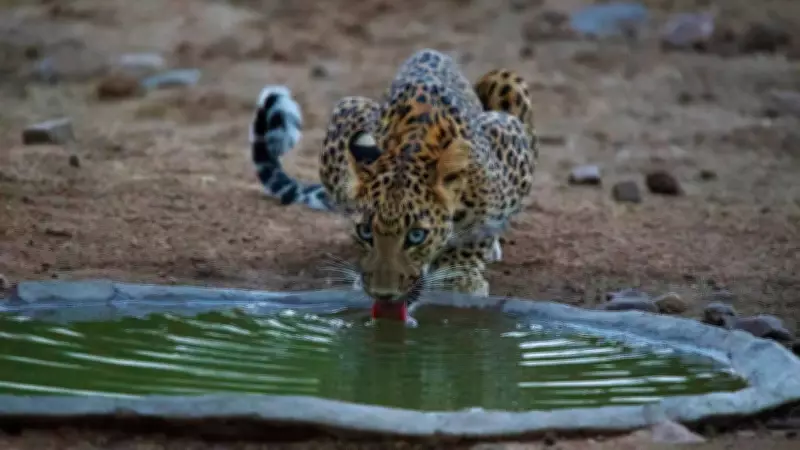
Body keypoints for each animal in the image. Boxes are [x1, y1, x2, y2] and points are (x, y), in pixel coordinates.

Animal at [249, 48, 538, 305]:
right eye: (366, 231)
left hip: (505, 81)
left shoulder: (508, 137)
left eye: (416, 236)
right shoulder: (347, 115)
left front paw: (460, 277)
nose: (383, 294)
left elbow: (480, 229)